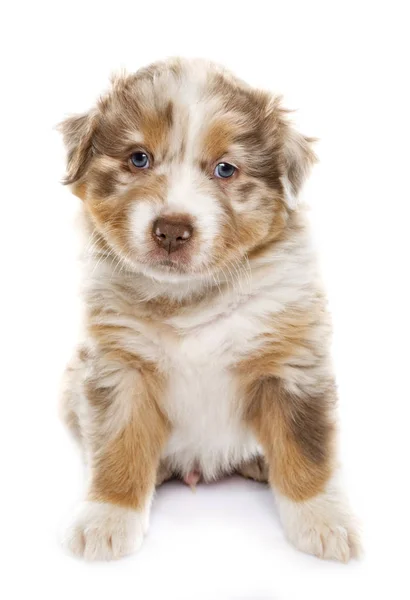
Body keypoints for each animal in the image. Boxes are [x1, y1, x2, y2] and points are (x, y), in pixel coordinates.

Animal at [59, 57, 360, 564]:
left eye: (225, 169)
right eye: (138, 159)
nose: (171, 230)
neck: (192, 297)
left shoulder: (292, 363)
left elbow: (306, 448)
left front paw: (324, 521)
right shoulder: (118, 365)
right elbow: (119, 445)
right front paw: (108, 518)